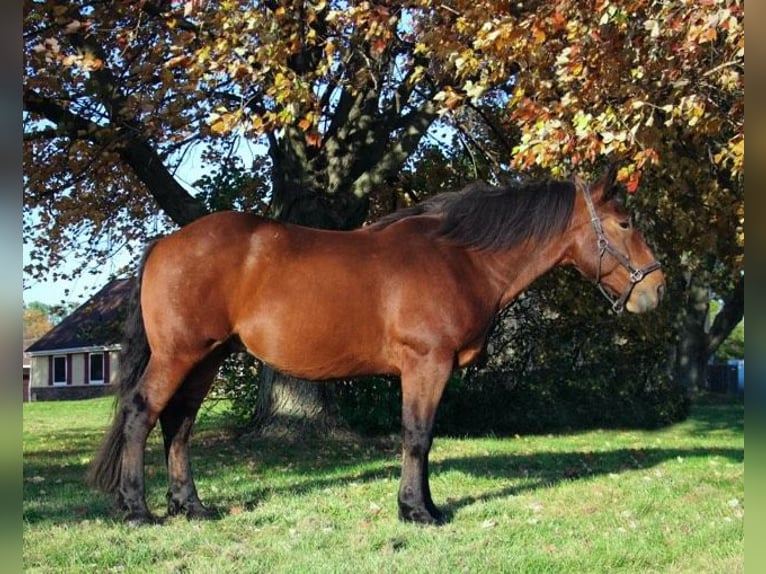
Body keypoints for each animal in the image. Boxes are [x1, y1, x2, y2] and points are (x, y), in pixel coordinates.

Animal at [88, 165, 664, 528]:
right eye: (625, 223)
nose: (657, 289)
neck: (460, 257)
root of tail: (168, 242)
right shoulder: (427, 364)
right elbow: (417, 436)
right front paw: (417, 512)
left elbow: (422, 438)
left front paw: (425, 506)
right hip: (179, 355)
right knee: (141, 415)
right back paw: (137, 511)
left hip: (208, 358)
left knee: (178, 424)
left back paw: (191, 507)